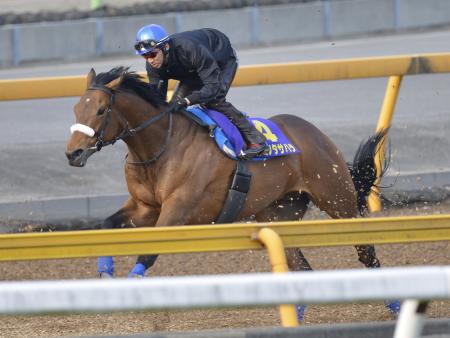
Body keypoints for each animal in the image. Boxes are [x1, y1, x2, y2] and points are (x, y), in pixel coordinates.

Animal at [66, 66, 398, 320]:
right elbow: (107, 225)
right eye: (76, 108)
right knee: (301, 266)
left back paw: (394, 303)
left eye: (100, 110)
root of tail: (315, 133)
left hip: (337, 200)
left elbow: (150, 250)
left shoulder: (178, 208)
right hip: (278, 212)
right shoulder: (144, 206)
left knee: (366, 252)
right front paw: (105, 273)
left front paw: (132, 282)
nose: (73, 153)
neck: (161, 145)